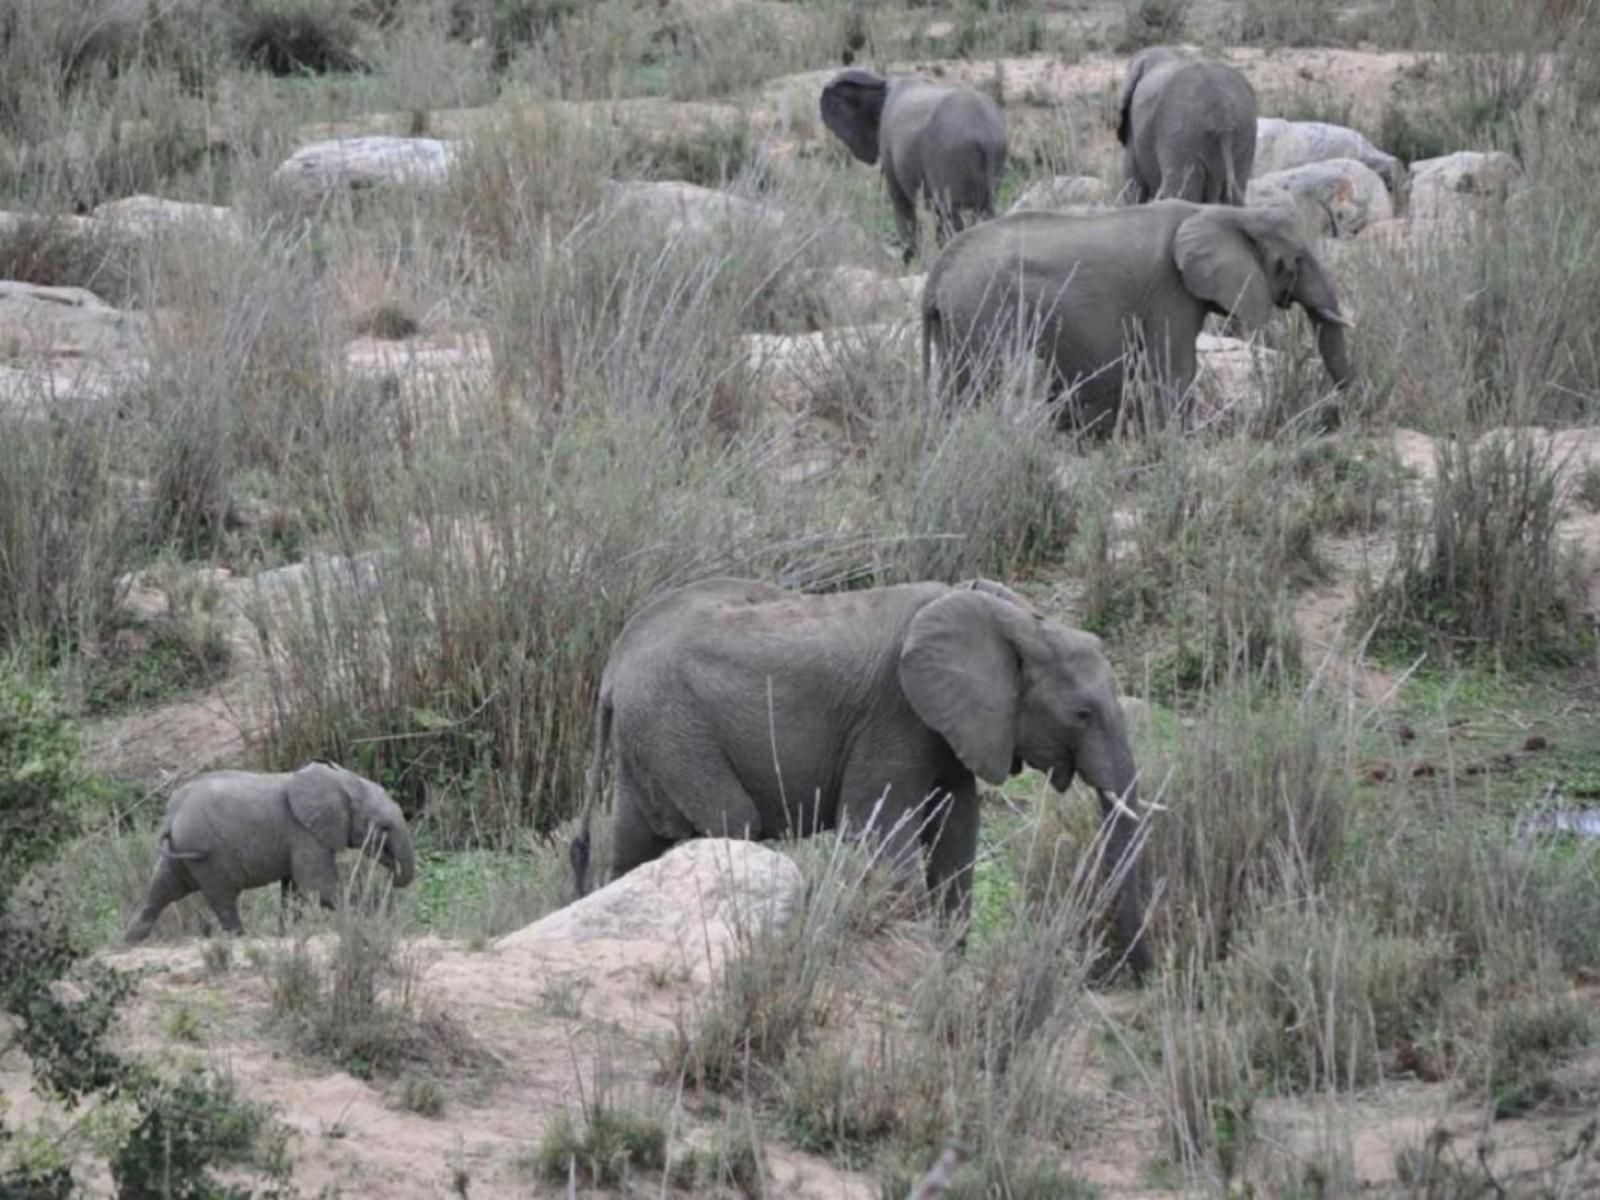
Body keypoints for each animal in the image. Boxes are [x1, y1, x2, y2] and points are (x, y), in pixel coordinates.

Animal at [122, 764, 416, 947]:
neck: (343, 781)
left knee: (161, 889)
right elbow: (320, 887)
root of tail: (171, 816)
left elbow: (294, 891)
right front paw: (362, 929)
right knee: (222, 898)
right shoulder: (303, 832)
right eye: (382, 828)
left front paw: (286, 934)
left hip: (178, 853)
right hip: (206, 854)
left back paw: (128, 941)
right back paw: (241, 939)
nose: (394, 878)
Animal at [569, 576, 1158, 979]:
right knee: (731, 824)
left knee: (633, 843)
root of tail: (614, 666)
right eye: (1082, 714)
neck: (1010, 618)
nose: (1139, 972)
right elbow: (881, 833)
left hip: (651, 734)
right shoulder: (896, 715)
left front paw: (948, 972)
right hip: (677, 726)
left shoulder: (946, 727)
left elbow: (957, 834)